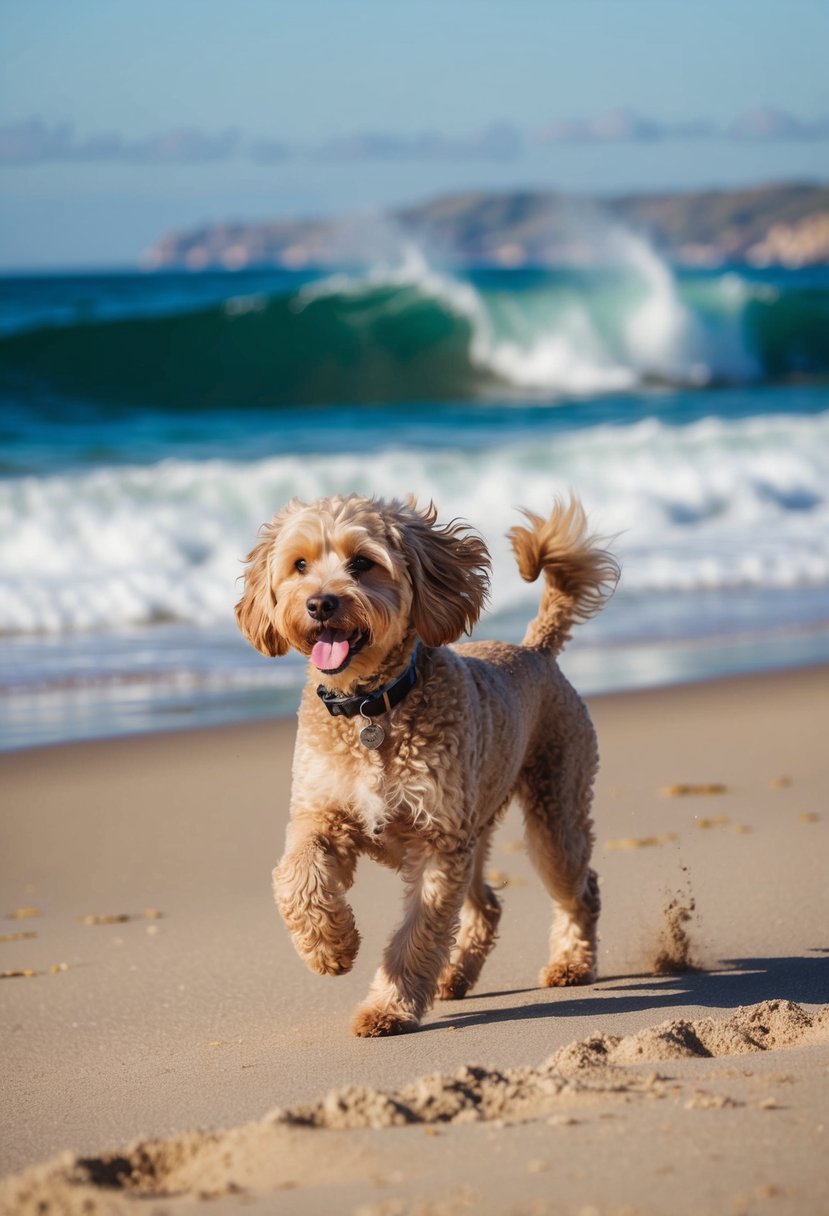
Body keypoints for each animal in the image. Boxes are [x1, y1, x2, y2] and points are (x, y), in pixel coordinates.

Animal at [235, 491, 617, 1036]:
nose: (320, 603)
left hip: (554, 813)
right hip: (476, 830)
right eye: (299, 564)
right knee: (488, 906)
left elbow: (419, 932)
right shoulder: (322, 815)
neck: (370, 708)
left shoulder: (438, 841)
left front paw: (389, 1007)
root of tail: (535, 649)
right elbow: (297, 875)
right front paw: (331, 947)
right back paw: (454, 976)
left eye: (362, 563)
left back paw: (571, 964)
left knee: (581, 890)